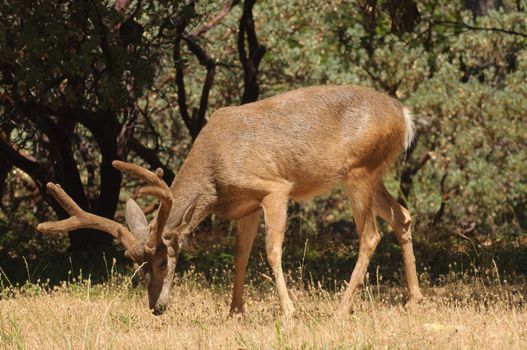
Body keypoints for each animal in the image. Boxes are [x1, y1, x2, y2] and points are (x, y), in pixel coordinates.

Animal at [37, 85, 424, 318]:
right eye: (138, 267)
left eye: (163, 263)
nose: (156, 308)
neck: (214, 176)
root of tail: (404, 117)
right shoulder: (246, 205)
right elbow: (240, 254)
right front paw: (235, 310)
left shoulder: (274, 188)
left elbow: (271, 250)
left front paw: (288, 311)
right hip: (371, 173)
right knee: (402, 216)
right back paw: (414, 299)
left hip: (359, 169)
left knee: (370, 235)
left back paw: (341, 308)